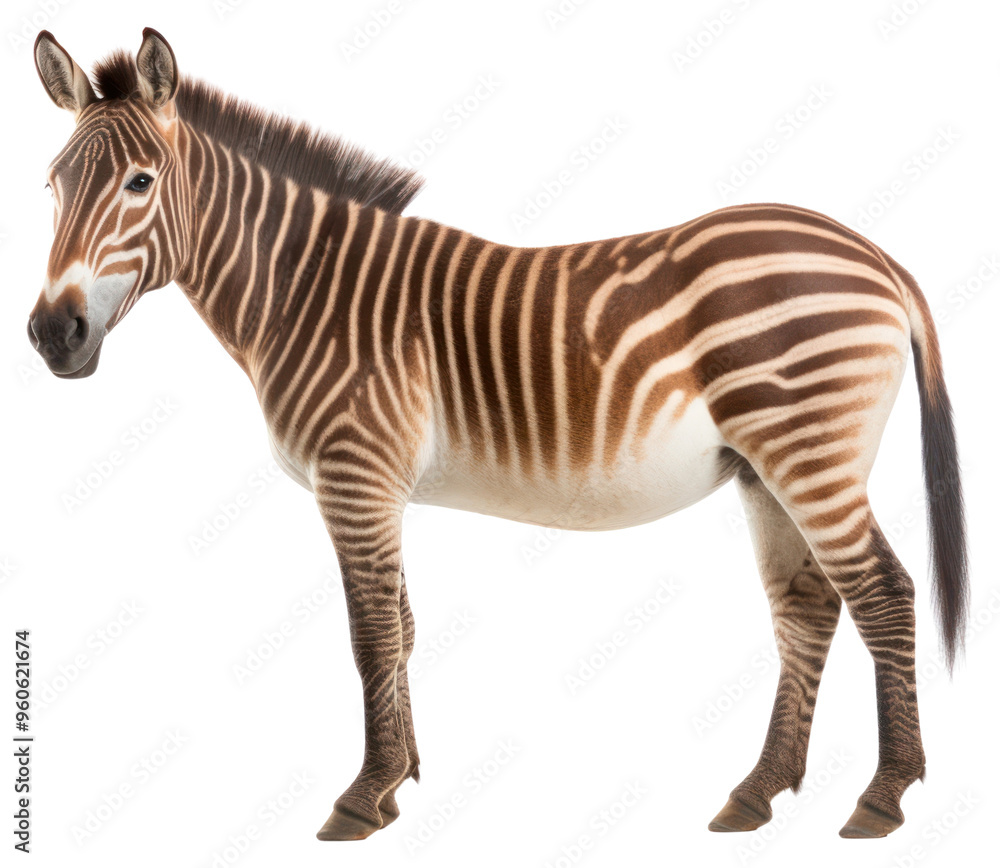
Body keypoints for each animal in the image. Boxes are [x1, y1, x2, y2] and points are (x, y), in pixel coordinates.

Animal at [28, 29, 968, 841]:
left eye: (141, 182)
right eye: (52, 186)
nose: (51, 335)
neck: (307, 292)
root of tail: (877, 255)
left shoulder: (355, 474)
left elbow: (371, 635)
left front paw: (362, 797)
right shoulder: (379, 485)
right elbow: (403, 627)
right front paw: (400, 781)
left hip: (808, 451)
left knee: (885, 594)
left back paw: (882, 798)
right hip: (764, 467)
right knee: (808, 606)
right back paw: (757, 792)